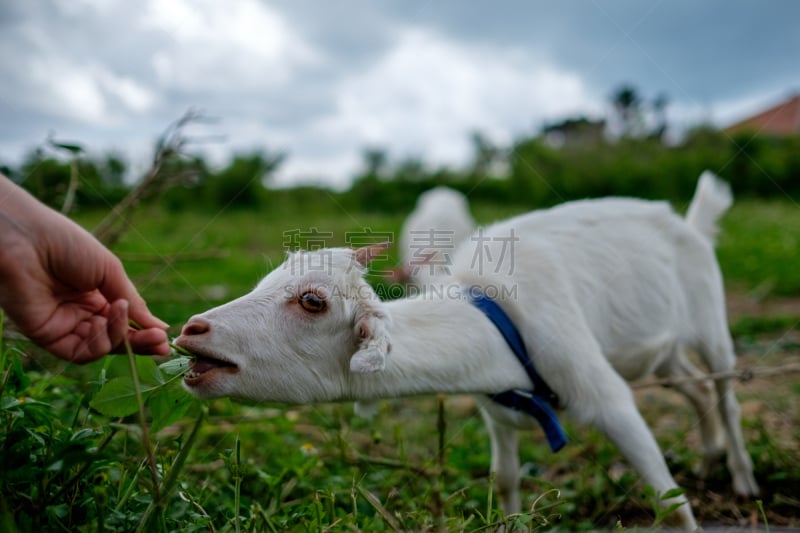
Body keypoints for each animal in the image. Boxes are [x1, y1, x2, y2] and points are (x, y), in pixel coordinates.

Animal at [175, 172, 756, 528]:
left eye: (312, 301)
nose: (192, 329)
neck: (496, 323)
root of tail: (689, 222)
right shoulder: (497, 409)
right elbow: (504, 480)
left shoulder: (604, 395)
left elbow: (669, 502)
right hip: (661, 349)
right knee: (694, 386)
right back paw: (709, 456)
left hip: (711, 319)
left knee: (726, 391)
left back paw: (743, 479)